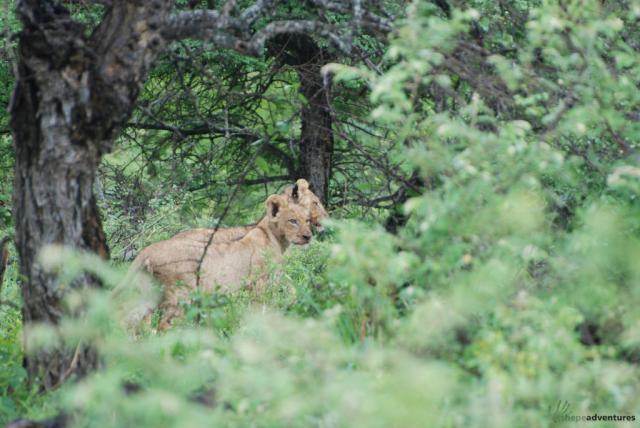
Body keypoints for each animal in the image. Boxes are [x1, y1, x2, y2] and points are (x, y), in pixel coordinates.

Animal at [130, 194, 312, 330]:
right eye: (293, 221)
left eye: (307, 220)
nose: (308, 236)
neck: (275, 239)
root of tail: (148, 250)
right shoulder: (259, 285)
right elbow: (261, 310)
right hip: (180, 295)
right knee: (163, 326)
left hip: (148, 293)